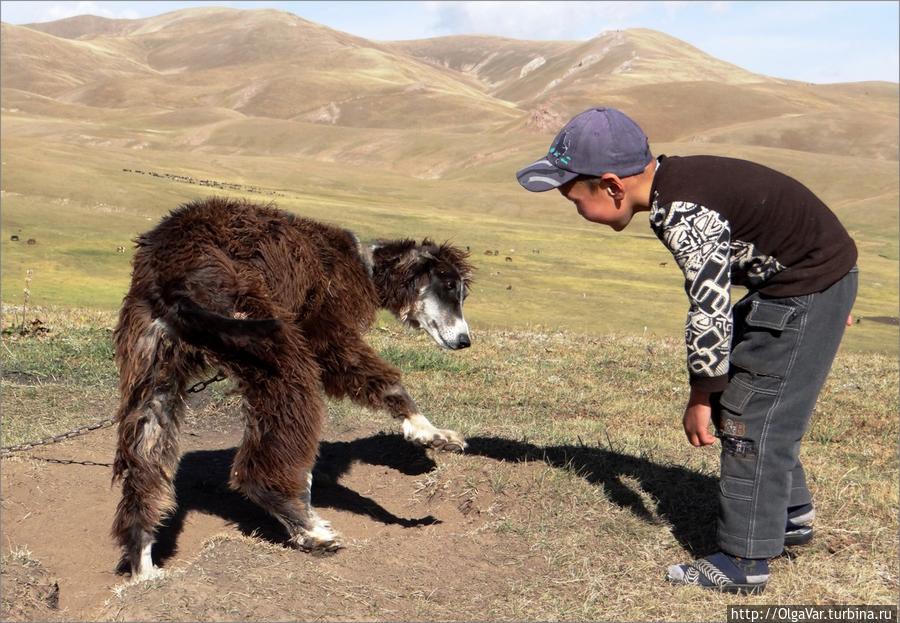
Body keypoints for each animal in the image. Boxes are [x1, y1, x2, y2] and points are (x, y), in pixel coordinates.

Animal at [111, 197, 474, 584]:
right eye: (448, 284)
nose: (464, 341)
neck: (361, 264)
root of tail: (168, 271)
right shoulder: (325, 333)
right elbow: (385, 382)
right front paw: (431, 433)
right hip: (265, 337)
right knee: (257, 464)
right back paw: (309, 531)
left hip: (154, 365)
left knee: (146, 459)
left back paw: (144, 568)